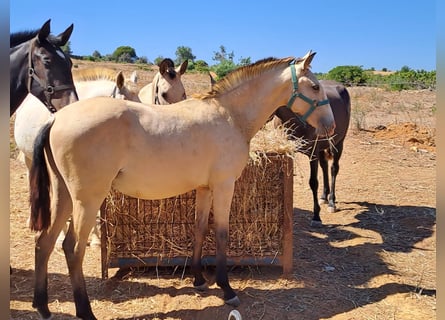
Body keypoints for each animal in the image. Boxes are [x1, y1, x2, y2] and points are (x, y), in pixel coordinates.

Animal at [274, 79, 350, 225]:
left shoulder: (313, 154)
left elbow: (313, 182)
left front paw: (316, 215)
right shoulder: (289, 152)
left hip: (337, 144)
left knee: (333, 169)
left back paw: (331, 201)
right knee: (324, 166)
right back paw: (324, 196)